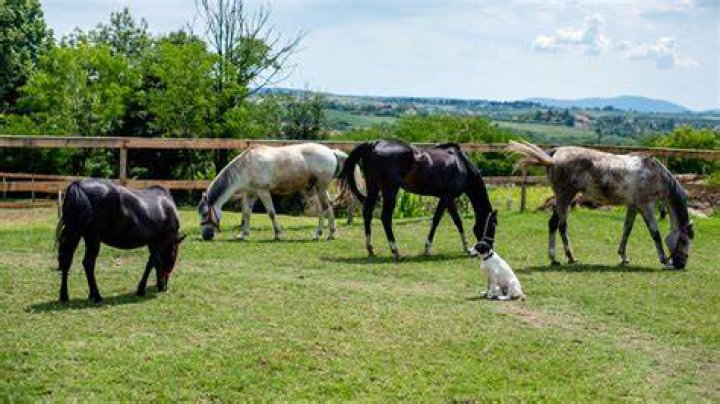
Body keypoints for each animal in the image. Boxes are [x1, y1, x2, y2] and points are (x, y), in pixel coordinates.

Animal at [56, 179, 186, 304]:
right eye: (175, 255)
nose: (165, 286)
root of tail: (79, 185)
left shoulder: (153, 244)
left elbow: (156, 263)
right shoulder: (160, 243)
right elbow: (151, 263)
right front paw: (141, 289)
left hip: (74, 234)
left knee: (66, 260)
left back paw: (64, 296)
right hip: (92, 239)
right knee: (88, 263)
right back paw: (96, 296)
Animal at [198, 143, 350, 241]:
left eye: (205, 213)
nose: (206, 236)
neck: (246, 166)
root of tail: (331, 152)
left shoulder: (263, 191)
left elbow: (271, 213)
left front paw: (278, 234)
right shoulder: (250, 193)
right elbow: (246, 214)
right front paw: (243, 234)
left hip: (320, 187)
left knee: (324, 208)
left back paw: (318, 234)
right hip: (319, 188)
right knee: (329, 207)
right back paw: (331, 234)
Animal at [338, 140, 496, 260]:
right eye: (493, 225)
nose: (491, 247)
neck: (461, 164)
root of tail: (374, 144)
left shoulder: (448, 198)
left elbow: (458, 221)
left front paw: (465, 246)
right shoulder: (446, 197)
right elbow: (436, 220)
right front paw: (427, 248)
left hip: (373, 187)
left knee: (367, 213)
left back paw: (370, 249)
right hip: (390, 190)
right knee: (385, 218)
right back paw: (396, 252)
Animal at [506, 140, 694, 269]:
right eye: (685, 241)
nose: (680, 265)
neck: (653, 174)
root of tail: (554, 154)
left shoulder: (633, 206)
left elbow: (627, 230)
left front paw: (623, 257)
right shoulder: (646, 205)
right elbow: (655, 233)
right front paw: (663, 261)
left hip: (565, 199)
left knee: (560, 225)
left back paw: (568, 258)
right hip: (564, 196)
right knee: (555, 224)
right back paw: (556, 259)